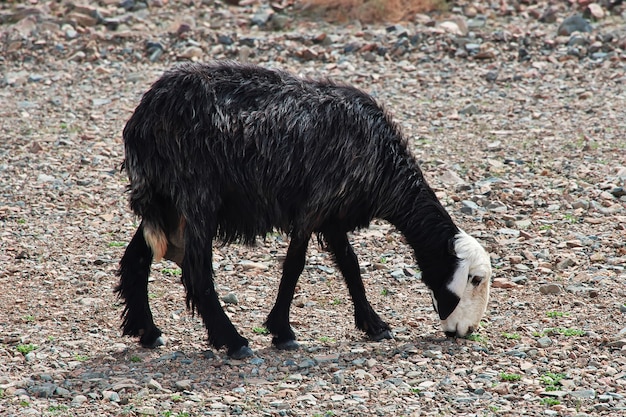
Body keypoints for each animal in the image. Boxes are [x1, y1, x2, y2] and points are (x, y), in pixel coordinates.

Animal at [114, 61, 490, 358]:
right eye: (474, 279)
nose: (466, 332)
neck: (382, 163)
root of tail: (143, 117)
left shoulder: (334, 214)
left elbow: (350, 266)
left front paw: (373, 324)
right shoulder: (315, 205)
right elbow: (295, 266)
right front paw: (282, 332)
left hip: (165, 200)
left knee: (137, 257)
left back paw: (147, 331)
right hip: (196, 195)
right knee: (196, 271)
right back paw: (233, 341)